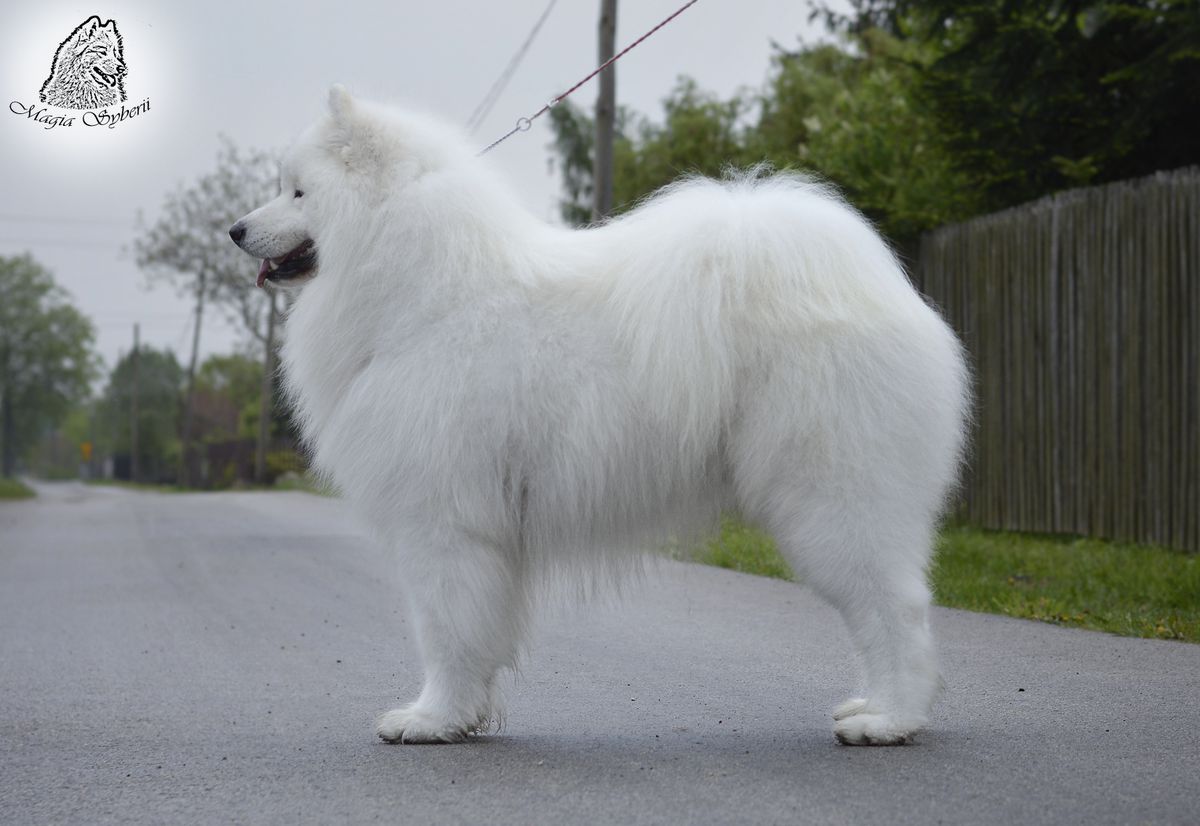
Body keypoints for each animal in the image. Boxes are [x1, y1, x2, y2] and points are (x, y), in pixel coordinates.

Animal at [229, 87, 969, 744]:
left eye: (299, 192)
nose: (234, 230)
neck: (423, 289)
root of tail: (881, 288)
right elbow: (479, 636)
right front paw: (465, 718)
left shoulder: (442, 523)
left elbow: (444, 630)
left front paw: (431, 720)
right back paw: (869, 705)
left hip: (832, 499)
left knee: (897, 609)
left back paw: (889, 721)